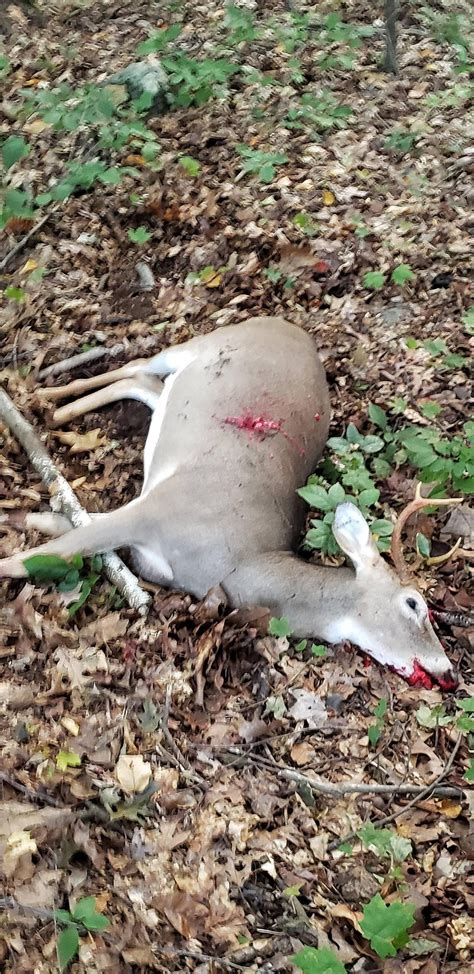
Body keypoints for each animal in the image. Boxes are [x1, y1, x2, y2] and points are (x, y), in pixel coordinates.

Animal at [0, 316, 458, 689]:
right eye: (414, 604)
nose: (447, 669)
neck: (243, 565)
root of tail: (296, 331)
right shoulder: (161, 507)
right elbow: (37, 556)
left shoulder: (150, 546)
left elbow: (69, 530)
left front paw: (26, 516)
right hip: (205, 342)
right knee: (140, 363)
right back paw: (48, 393)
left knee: (143, 384)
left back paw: (56, 412)